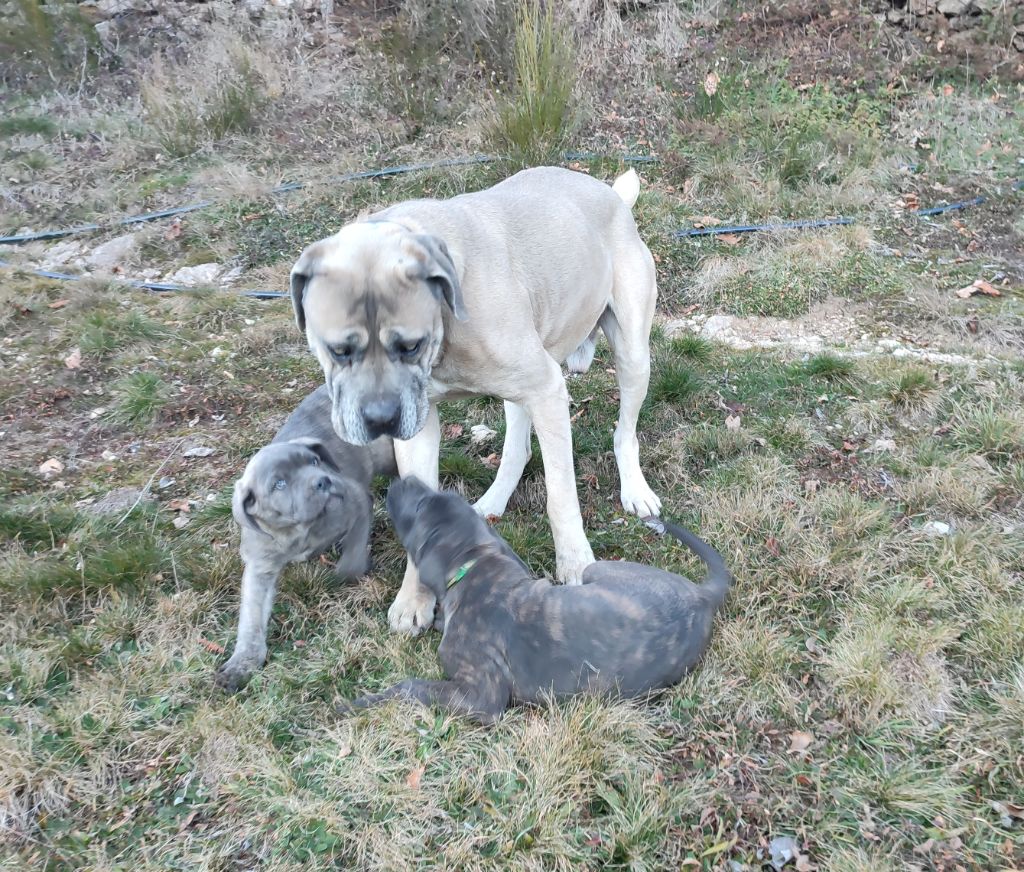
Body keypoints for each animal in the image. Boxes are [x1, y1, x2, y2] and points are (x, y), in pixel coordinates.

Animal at [216, 384, 395, 691]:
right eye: (279, 483)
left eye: (314, 461)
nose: (323, 480)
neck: (297, 530)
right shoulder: (259, 566)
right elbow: (251, 617)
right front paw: (243, 663)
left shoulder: (358, 501)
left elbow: (352, 559)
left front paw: (348, 573)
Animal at [346, 476, 737, 720]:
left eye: (419, 508)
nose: (401, 479)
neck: (474, 566)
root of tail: (701, 596)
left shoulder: (481, 696)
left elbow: (413, 686)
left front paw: (362, 701)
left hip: (595, 570)